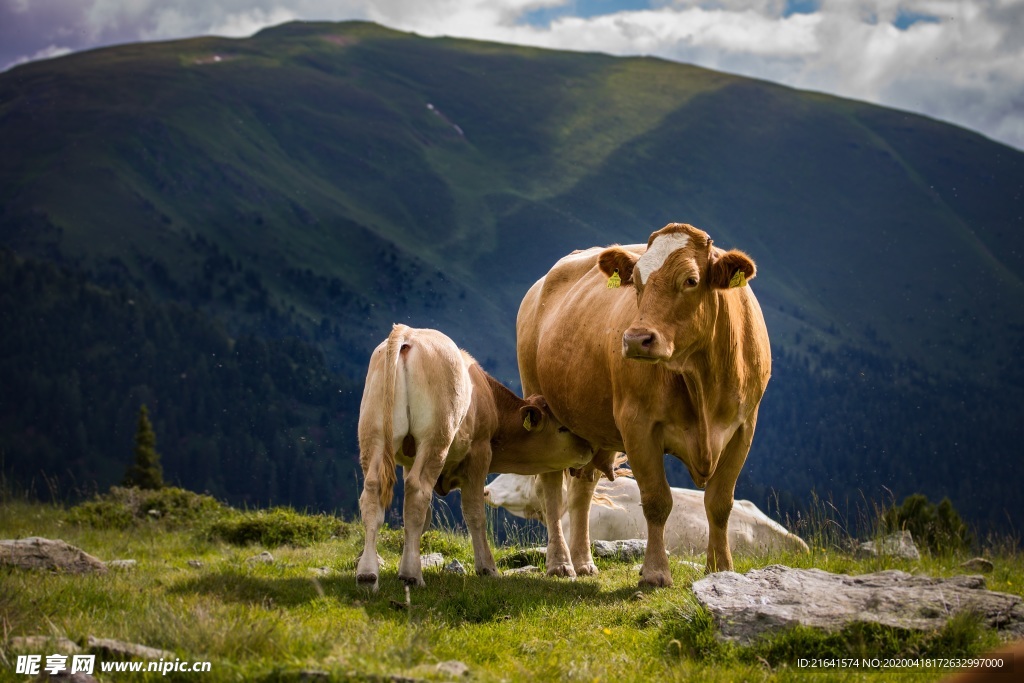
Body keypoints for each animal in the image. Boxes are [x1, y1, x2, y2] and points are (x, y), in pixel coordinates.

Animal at [356, 323, 593, 589]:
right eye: (562, 428)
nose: (589, 447)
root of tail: (408, 334)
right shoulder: (480, 454)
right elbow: (475, 512)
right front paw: (487, 567)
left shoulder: (409, 460)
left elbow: (421, 519)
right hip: (435, 438)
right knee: (417, 490)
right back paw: (411, 574)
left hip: (373, 434)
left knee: (373, 491)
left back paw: (367, 573)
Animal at [520, 224, 770, 589]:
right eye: (636, 282)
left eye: (691, 280)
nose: (637, 339)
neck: (701, 379)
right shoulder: (637, 424)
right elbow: (656, 500)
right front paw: (655, 572)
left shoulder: (743, 428)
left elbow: (720, 502)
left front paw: (721, 568)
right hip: (540, 404)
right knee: (551, 488)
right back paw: (560, 564)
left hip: (591, 428)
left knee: (583, 490)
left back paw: (583, 561)